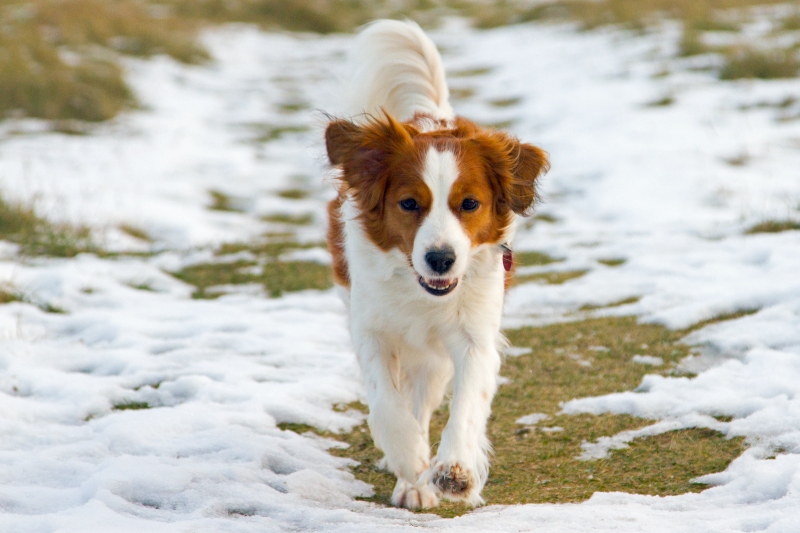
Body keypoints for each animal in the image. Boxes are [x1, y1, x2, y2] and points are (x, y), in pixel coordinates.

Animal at [322, 20, 548, 510]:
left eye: (470, 204)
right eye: (409, 203)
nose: (441, 259)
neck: (418, 289)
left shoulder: (473, 337)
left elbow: (466, 405)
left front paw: (454, 470)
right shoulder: (371, 329)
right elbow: (387, 404)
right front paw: (408, 459)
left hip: (434, 357)